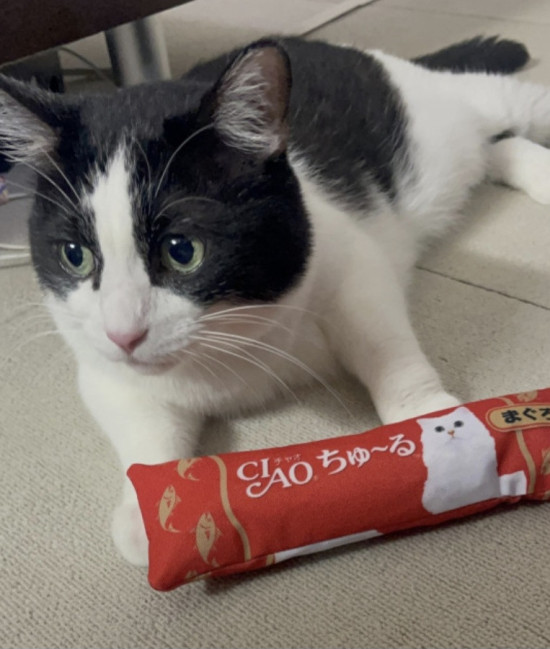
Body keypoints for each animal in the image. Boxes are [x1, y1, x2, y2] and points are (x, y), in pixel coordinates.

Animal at [0, 35, 548, 566]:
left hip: (445, 115)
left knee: (510, 104)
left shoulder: (348, 256)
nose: (124, 333)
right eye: (75, 256)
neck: (232, 342)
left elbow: (380, 338)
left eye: (183, 251)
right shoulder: (100, 360)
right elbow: (135, 418)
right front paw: (146, 511)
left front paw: (427, 415)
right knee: (496, 145)